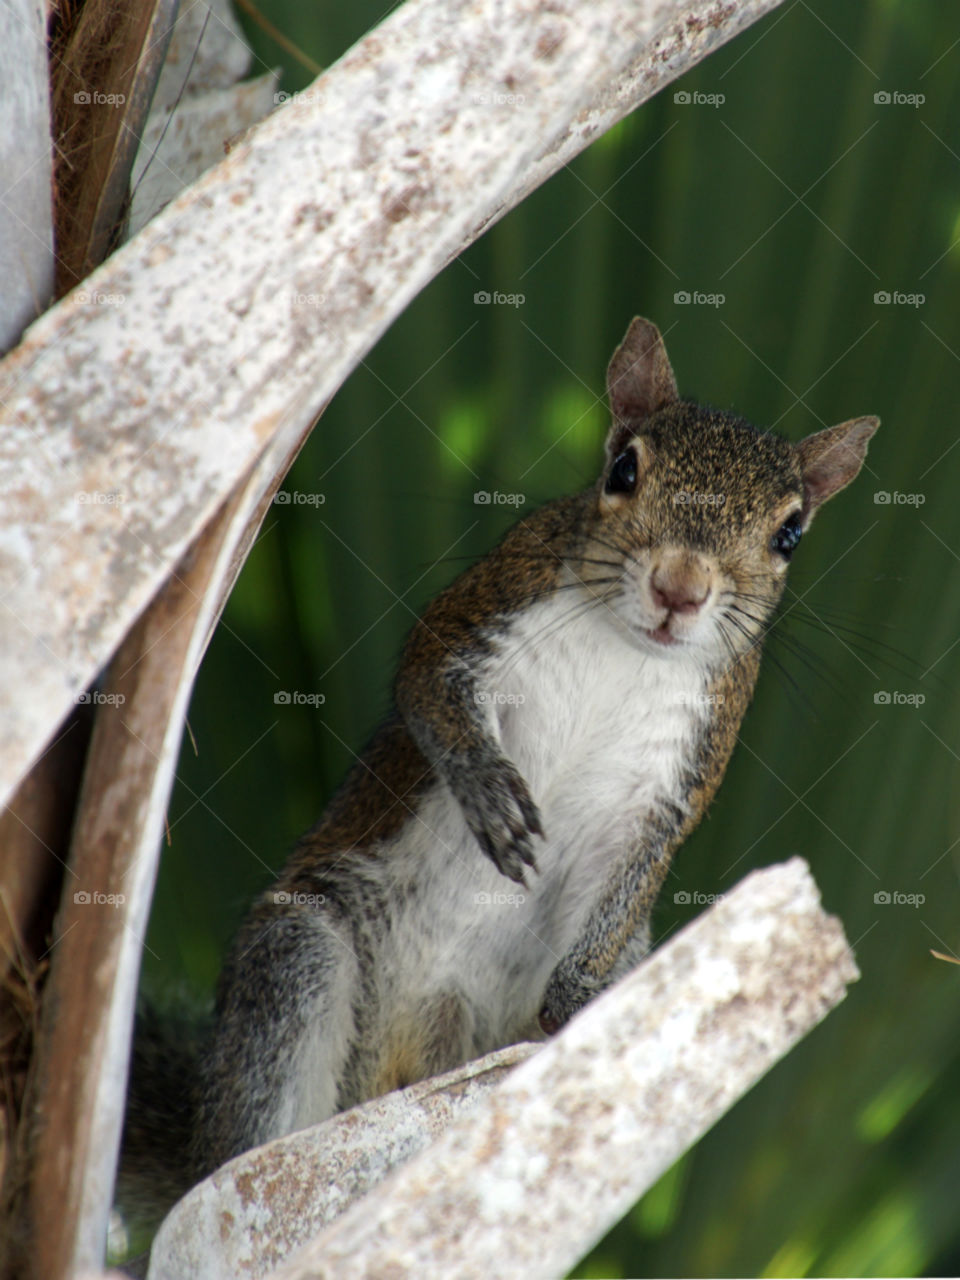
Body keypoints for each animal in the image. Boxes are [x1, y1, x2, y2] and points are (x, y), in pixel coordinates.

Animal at [118, 317, 877, 1231]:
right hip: (300, 957)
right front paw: (488, 792)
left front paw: (582, 1003)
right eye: (623, 469)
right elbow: (428, 688)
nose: (681, 588)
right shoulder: (486, 604)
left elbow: (638, 868)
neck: (628, 649)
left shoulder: (681, 775)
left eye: (789, 534)